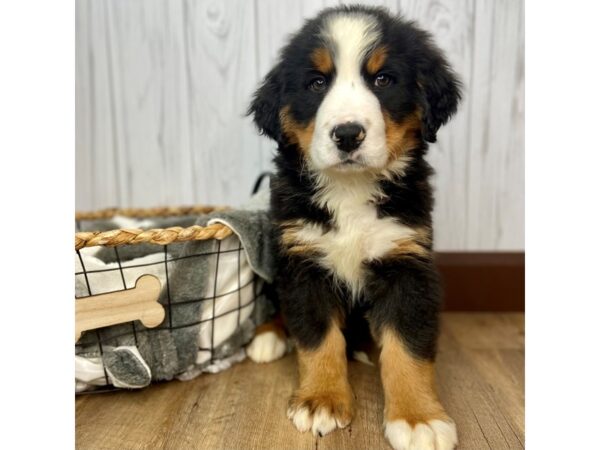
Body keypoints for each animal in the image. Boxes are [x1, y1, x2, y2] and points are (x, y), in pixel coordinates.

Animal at [246, 4, 462, 450]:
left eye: (383, 80)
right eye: (316, 83)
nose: (347, 134)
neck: (350, 189)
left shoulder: (406, 263)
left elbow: (408, 347)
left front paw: (418, 418)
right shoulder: (303, 262)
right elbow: (318, 339)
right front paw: (322, 401)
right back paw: (268, 337)